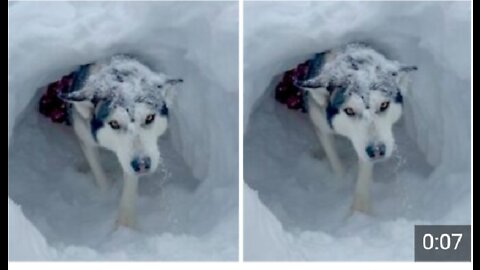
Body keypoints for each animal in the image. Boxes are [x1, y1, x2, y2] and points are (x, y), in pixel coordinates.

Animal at [58, 55, 182, 228]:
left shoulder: (129, 159)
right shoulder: (85, 137)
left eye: (149, 118)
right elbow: (98, 171)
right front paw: (106, 193)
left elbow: (129, 184)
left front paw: (126, 224)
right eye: (114, 123)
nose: (142, 164)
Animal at [296, 43, 416, 213]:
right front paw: (340, 182)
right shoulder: (320, 124)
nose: (377, 151)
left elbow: (364, 172)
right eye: (349, 110)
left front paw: (360, 210)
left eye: (384, 105)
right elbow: (334, 159)